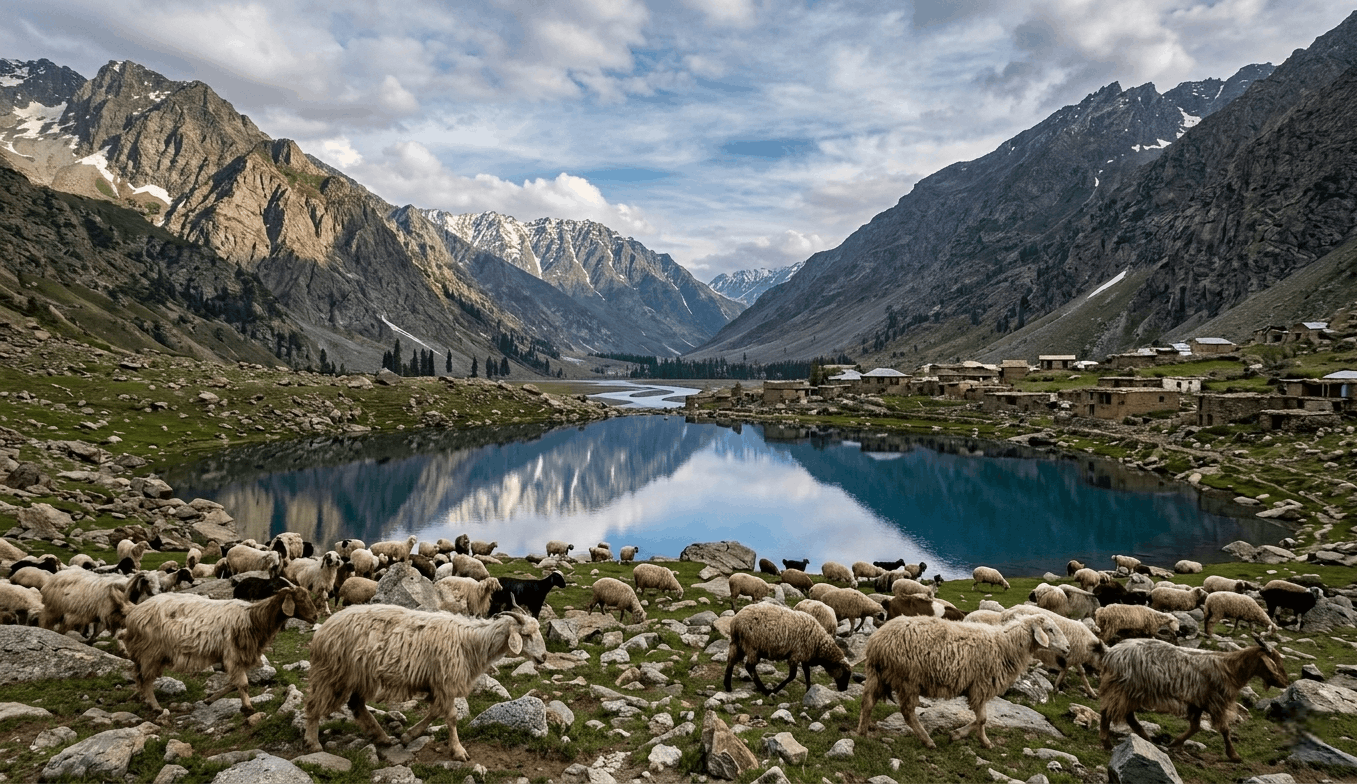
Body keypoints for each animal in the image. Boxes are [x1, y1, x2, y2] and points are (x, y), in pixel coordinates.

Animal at [124, 585, 318, 714]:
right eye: (301, 599)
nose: (316, 616)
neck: (254, 618)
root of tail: (133, 613)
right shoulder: (234, 654)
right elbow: (243, 684)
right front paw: (248, 707)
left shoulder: (233, 657)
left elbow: (233, 683)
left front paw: (210, 699)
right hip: (151, 652)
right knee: (146, 679)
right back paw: (155, 706)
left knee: (139, 677)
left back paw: (143, 699)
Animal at [303, 604, 545, 760]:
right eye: (526, 635)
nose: (543, 657)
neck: (472, 642)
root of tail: (323, 628)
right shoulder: (446, 680)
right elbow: (451, 717)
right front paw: (458, 751)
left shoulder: (437, 683)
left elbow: (435, 712)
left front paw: (409, 736)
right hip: (332, 672)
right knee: (314, 705)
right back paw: (313, 743)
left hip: (358, 675)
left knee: (356, 705)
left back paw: (381, 738)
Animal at [723, 602, 852, 695]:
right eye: (845, 674)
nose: (844, 689)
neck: (818, 643)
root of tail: (735, 622)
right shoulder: (795, 654)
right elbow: (792, 676)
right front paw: (775, 690)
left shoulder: (804, 655)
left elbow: (807, 673)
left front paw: (808, 690)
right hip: (752, 646)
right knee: (749, 666)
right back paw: (765, 690)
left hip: (737, 643)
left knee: (731, 661)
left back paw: (728, 686)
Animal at [856, 614, 1070, 748]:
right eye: (1050, 629)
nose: (1068, 647)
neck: (1006, 645)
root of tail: (877, 642)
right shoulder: (980, 686)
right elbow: (982, 719)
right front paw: (965, 737)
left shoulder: (977, 688)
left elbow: (982, 719)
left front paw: (978, 740)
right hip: (908, 679)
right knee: (907, 712)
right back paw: (927, 741)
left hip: (877, 675)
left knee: (867, 702)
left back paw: (862, 732)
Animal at [1098, 636, 1289, 762]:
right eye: (1275, 662)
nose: (1285, 682)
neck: (1230, 669)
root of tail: (1110, 653)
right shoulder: (1215, 702)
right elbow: (1225, 729)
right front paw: (1234, 755)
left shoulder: (1198, 702)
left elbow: (1195, 727)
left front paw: (1175, 743)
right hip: (1123, 689)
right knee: (1107, 713)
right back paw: (1107, 744)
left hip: (1130, 692)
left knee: (1128, 716)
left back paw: (1146, 739)